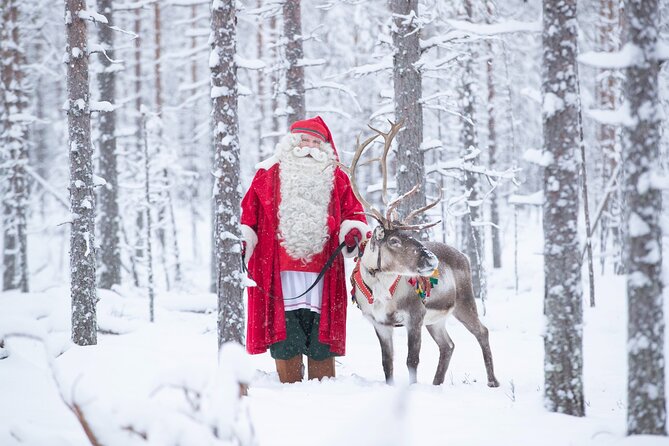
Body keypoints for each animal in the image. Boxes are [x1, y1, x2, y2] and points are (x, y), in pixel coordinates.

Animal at [345, 121, 499, 387]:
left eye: (412, 235)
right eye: (394, 240)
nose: (430, 259)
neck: (381, 289)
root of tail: (464, 256)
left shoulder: (415, 316)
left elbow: (412, 360)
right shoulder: (380, 324)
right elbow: (387, 363)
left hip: (464, 301)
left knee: (482, 331)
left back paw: (492, 381)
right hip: (437, 320)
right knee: (448, 345)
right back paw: (437, 383)